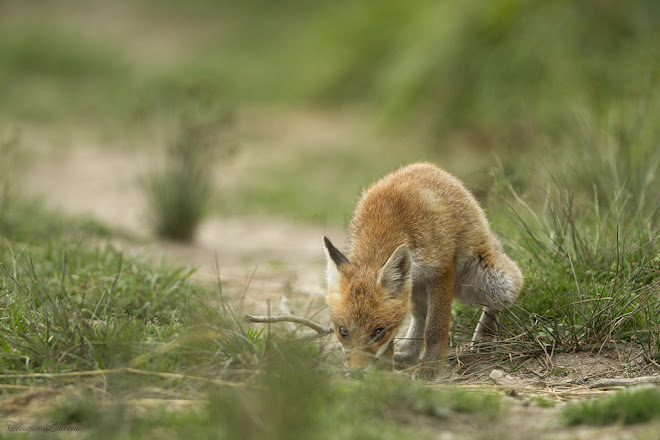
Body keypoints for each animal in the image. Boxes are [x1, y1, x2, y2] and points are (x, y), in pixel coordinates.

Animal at [322, 162, 524, 378]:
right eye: (343, 331)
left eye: (379, 332)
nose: (357, 374)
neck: (384, 225)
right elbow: (405, 330)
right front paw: (385, 368)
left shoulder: (443, 268)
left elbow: (435, 328)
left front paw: (431, 367)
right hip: (415, 288)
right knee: (419, 318)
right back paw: (409, 354)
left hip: (494, 280)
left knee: (501, 297)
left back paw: (485, 335)